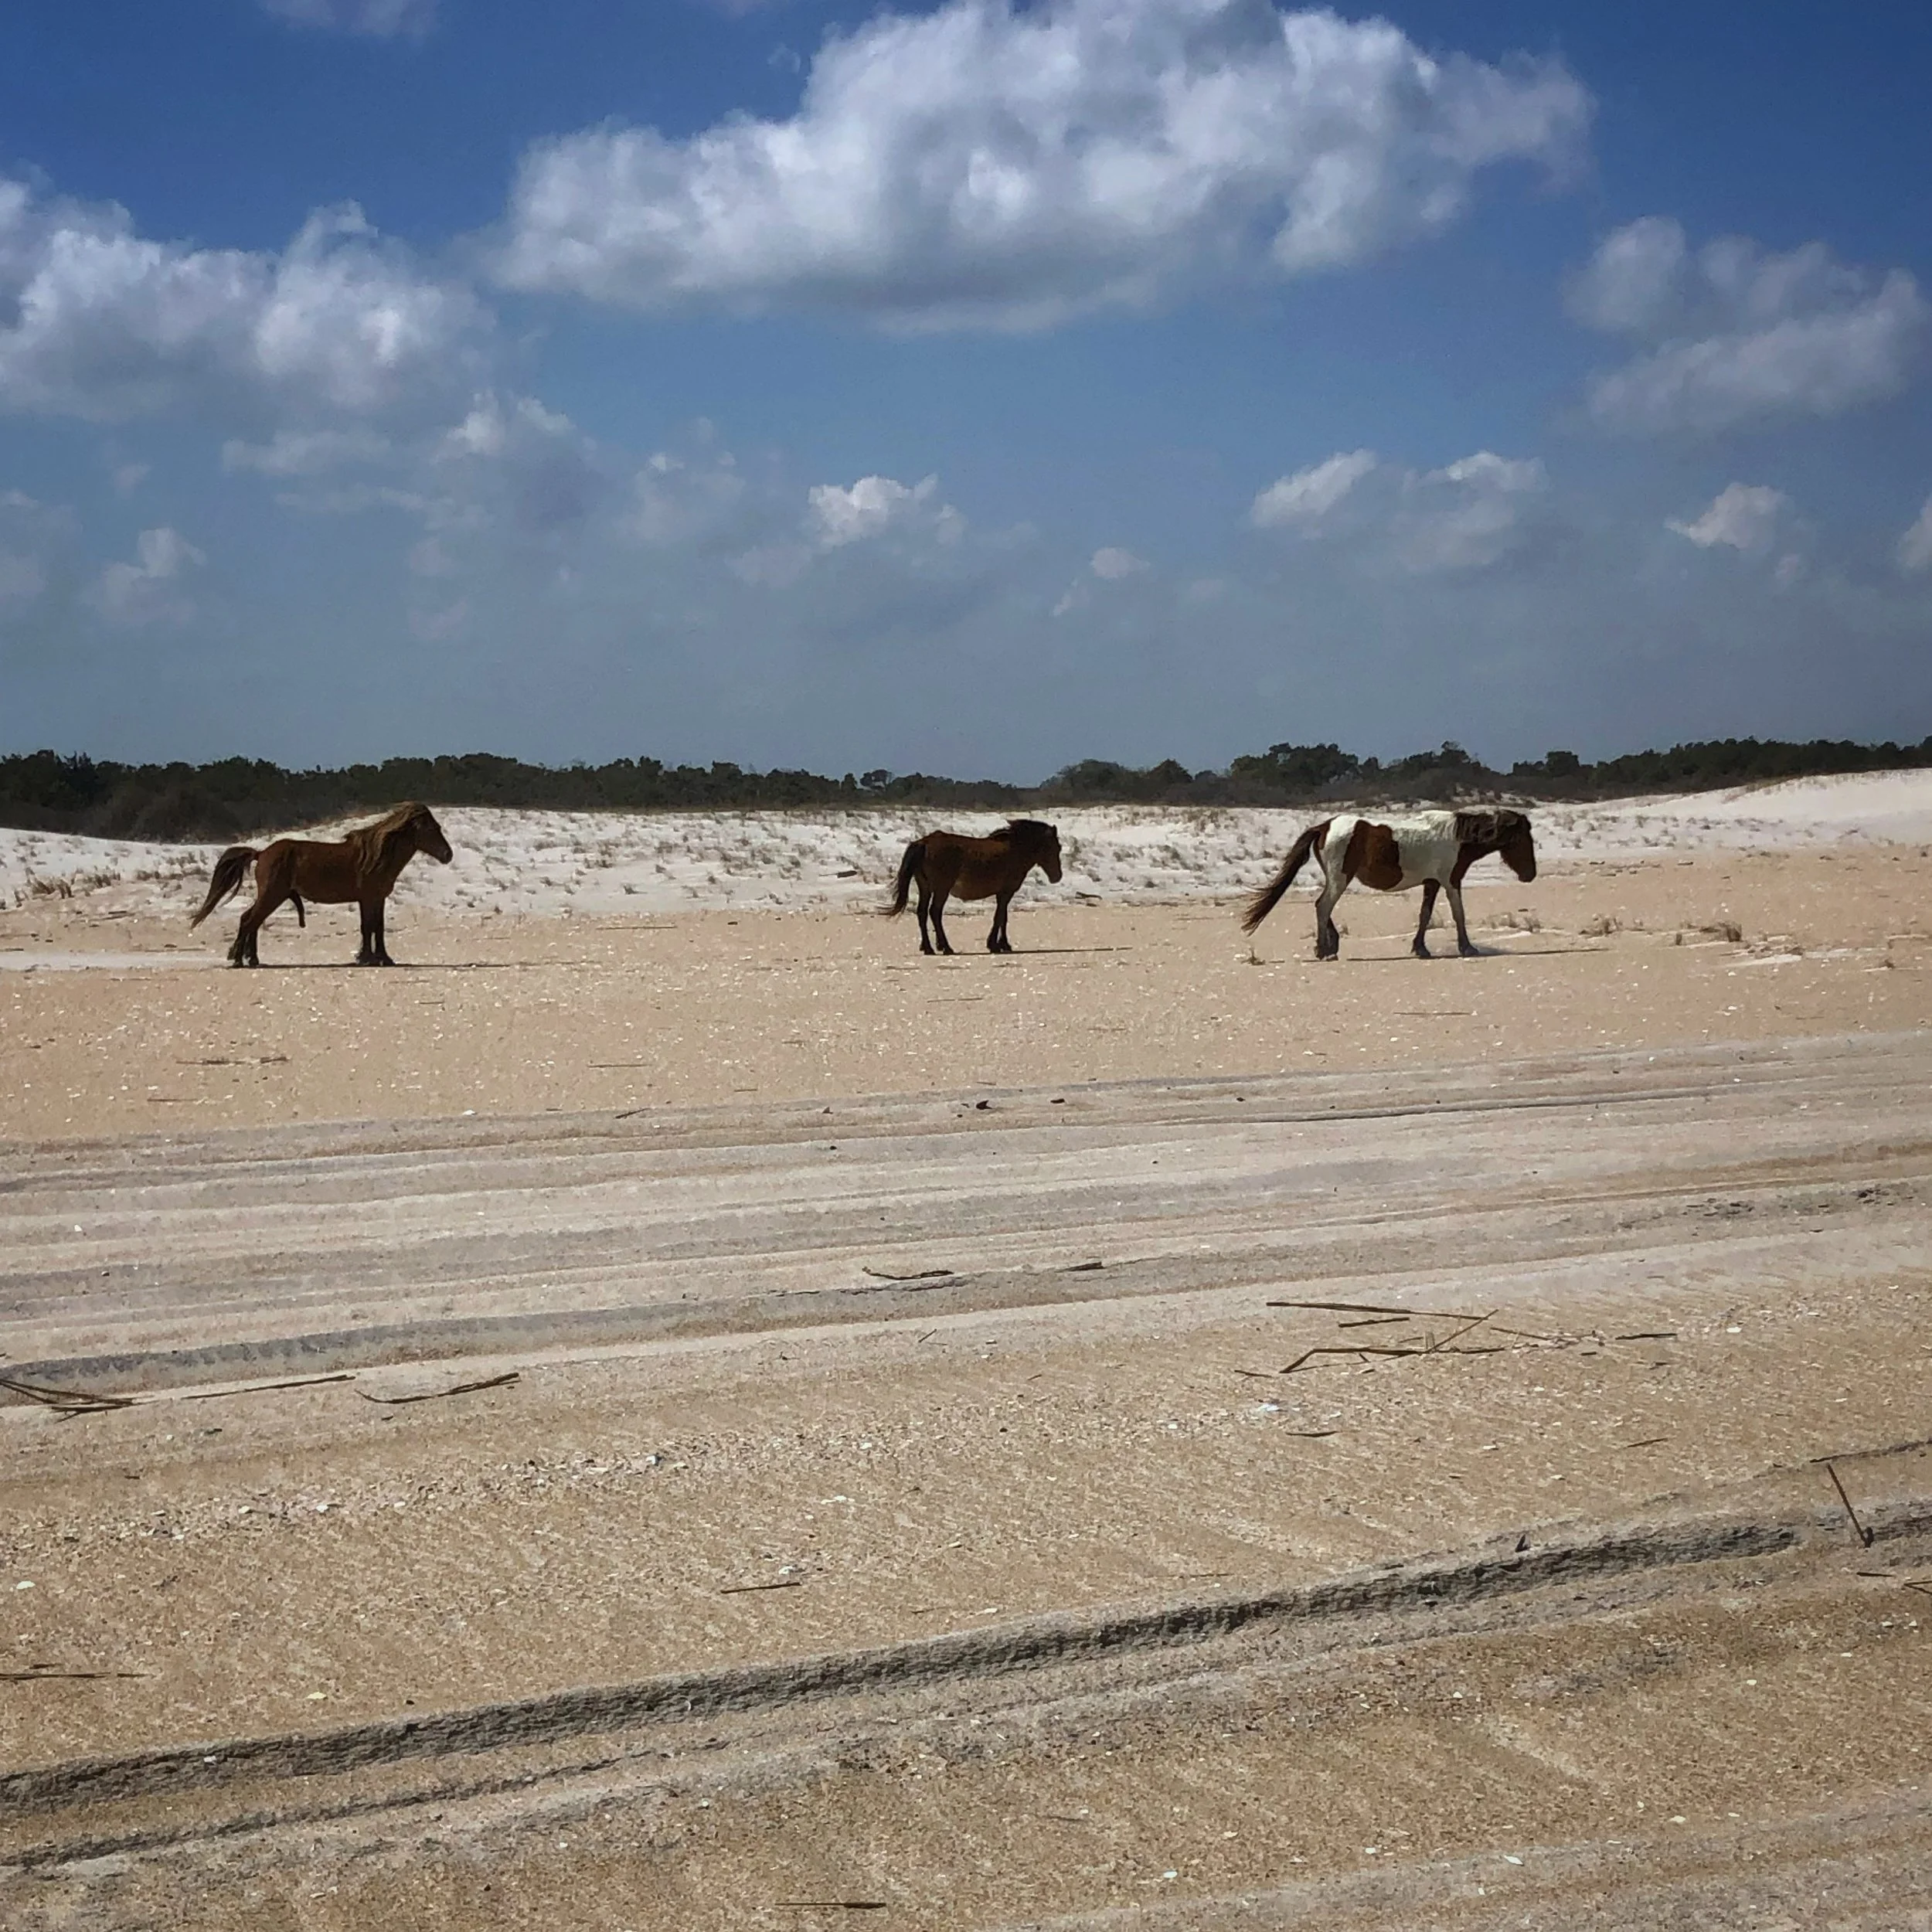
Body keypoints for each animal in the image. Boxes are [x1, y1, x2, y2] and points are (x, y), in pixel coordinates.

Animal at [188, 803, 454, 967]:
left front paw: (376, 957)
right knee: (249, 920)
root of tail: (261, 853)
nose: (448, 855)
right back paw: (239, 961)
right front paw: (371, 958)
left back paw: (251, 959)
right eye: (433, 828)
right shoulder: (370, 898)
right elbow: (370, 928)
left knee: (250, 920)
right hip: (272, 895)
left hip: (274, 896)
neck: (376, 855)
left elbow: (375, 928)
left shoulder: (375, 899)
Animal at [885, 819, 1063, 954]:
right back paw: (946, 947)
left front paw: (1003, 945)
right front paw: (995, 945)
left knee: (922, 913)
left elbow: (1003, 917)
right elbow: (999, 917)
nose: (1057, 877)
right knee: (935, 913)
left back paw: (928, 947)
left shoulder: (1003, 893)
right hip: (942, 889)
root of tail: (924, 843)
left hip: (926, 888)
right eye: (1054, 847)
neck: (1015, 849)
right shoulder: (1007, 892)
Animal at [1241, 808, 1536, 960]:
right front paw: (1467, 948)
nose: (1530, 875)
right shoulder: (1451, 881)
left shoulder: (1432, 882)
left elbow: (1425, 914)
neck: (1456, 837)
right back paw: (1325, 951)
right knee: (1323, 906)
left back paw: (1330, 946)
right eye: (1523, 839)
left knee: (1322, 906)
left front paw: (1421, 948)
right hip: (1340, 878)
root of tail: (1324, 827)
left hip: (1337, 878)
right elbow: (1458, 914)